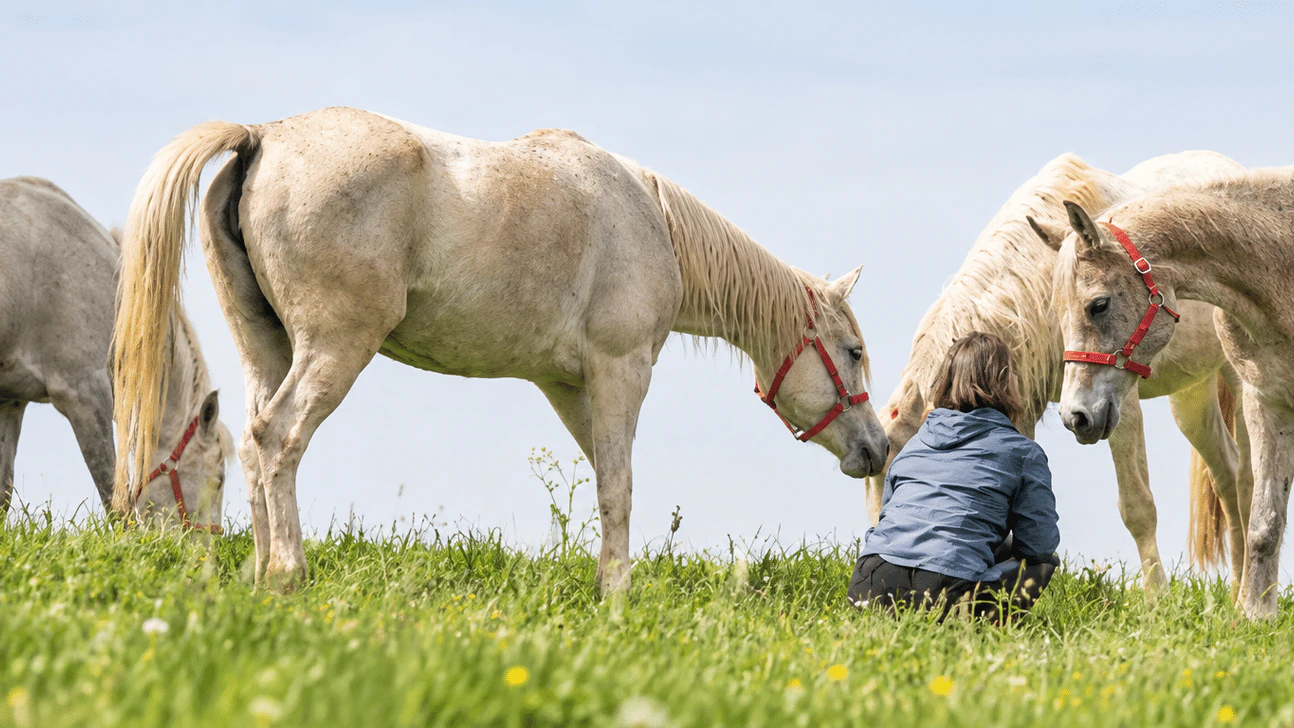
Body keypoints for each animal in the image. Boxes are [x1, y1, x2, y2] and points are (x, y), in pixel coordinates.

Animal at [0, 176, 231, 530]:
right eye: (218, 480)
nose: (208, 544)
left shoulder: (11, 402)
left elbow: (3, 491)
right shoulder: (84, 395)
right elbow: (115, 498)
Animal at [110, 107, 890, 594]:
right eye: (852, 351)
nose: (878, 449)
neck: (653, 224)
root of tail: (260, 138)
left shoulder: (568, 388)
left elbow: (606, 482)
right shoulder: (620, 372)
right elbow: (619, 485)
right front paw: (619, 593)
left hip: (267, 348)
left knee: (253, 443)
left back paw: (260, 570)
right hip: (334, 349)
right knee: (279, 438)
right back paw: (287, 573)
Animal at [873, 151, 1252, 594]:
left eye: (1099, 306)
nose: (889, 576)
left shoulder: (1118, 403)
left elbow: (1137, 506)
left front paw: (1157, 599)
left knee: (1245, 479)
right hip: (1190, 396)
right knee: (1226, 473)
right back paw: (1236, 591)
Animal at [1047, 166, 1294, 619]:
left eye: (1098, 305)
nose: (1076, 416)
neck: (1279, 266)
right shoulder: (1267, 402)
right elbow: (1264, 522)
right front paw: (1254, 615)